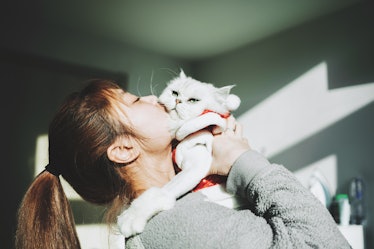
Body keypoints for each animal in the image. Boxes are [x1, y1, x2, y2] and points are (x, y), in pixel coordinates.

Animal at [118, 69, 241, 237]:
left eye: (193, 100)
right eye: (175, 93)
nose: (177, 101)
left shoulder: (195, 164)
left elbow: (160, 193)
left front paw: (130, 218)